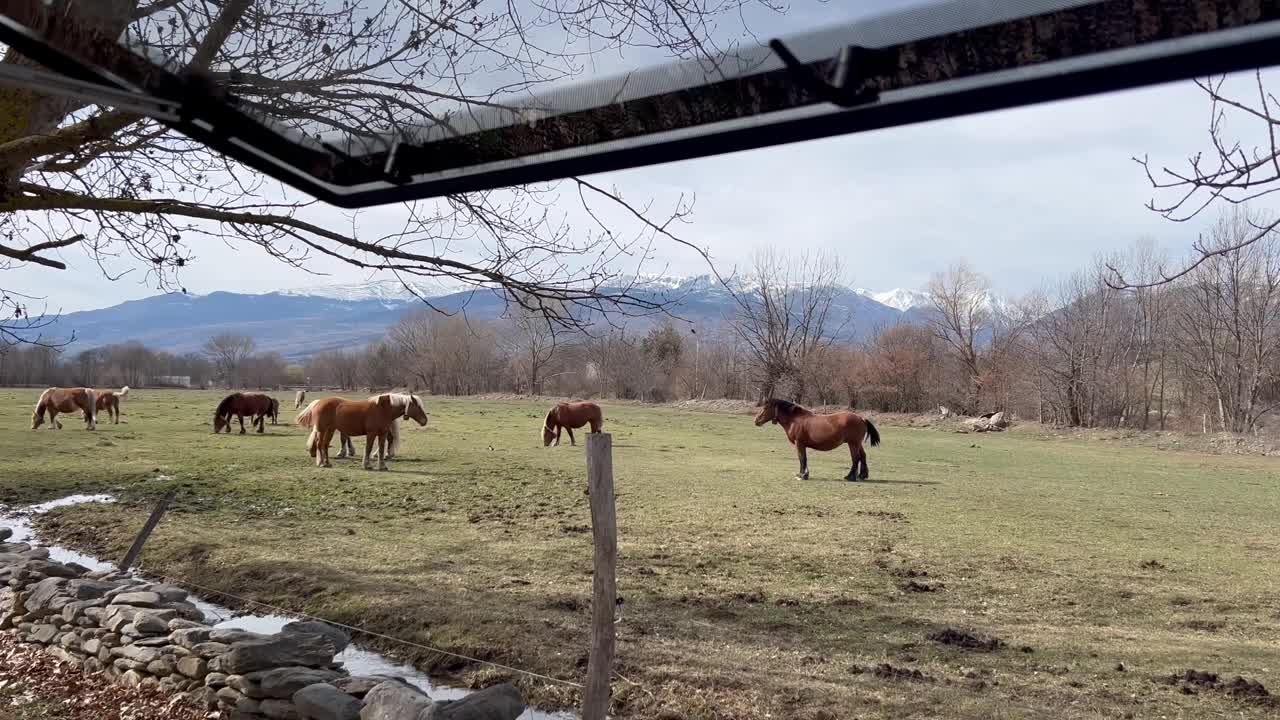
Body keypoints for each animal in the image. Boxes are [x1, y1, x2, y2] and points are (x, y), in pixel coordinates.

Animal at [295, 389, 430, 468]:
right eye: (418, 406)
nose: (425, 421)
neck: (382, 409)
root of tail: (319, 403)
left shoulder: (382, 434)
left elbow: (381, 449)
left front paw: (382, 466)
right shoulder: (371, 433)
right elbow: (368, 448)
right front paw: (366, 465)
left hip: (330, 430)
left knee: (324, 445)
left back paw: (327, 463)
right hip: (322, 430)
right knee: (320, 444)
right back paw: (322, 463)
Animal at [747, 394, 880, 479]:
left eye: (764, 408)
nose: (756, 420)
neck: (795, 419)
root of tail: (861, 418)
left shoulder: (799, 443)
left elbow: (802, 458)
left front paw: (803, 475)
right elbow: (803, 458)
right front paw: (802, 474)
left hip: (853, 443)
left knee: (855, 458)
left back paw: (850, 477)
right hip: (857, 443)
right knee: (863, 456)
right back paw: (862, 475)